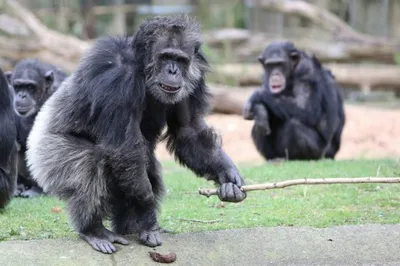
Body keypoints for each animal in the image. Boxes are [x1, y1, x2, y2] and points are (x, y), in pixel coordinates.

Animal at [25, 15, 247, 256]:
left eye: (180, 60)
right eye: (165, 57)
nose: (173, 71)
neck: (142, 68)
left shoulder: (194, 80)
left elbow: (188, 130)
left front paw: (228, 175)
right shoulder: (118, 79)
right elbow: (124, 148)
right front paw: (148, 218)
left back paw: (129, 227)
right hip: (48, 153)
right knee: (87, 162)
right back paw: (94, 230)